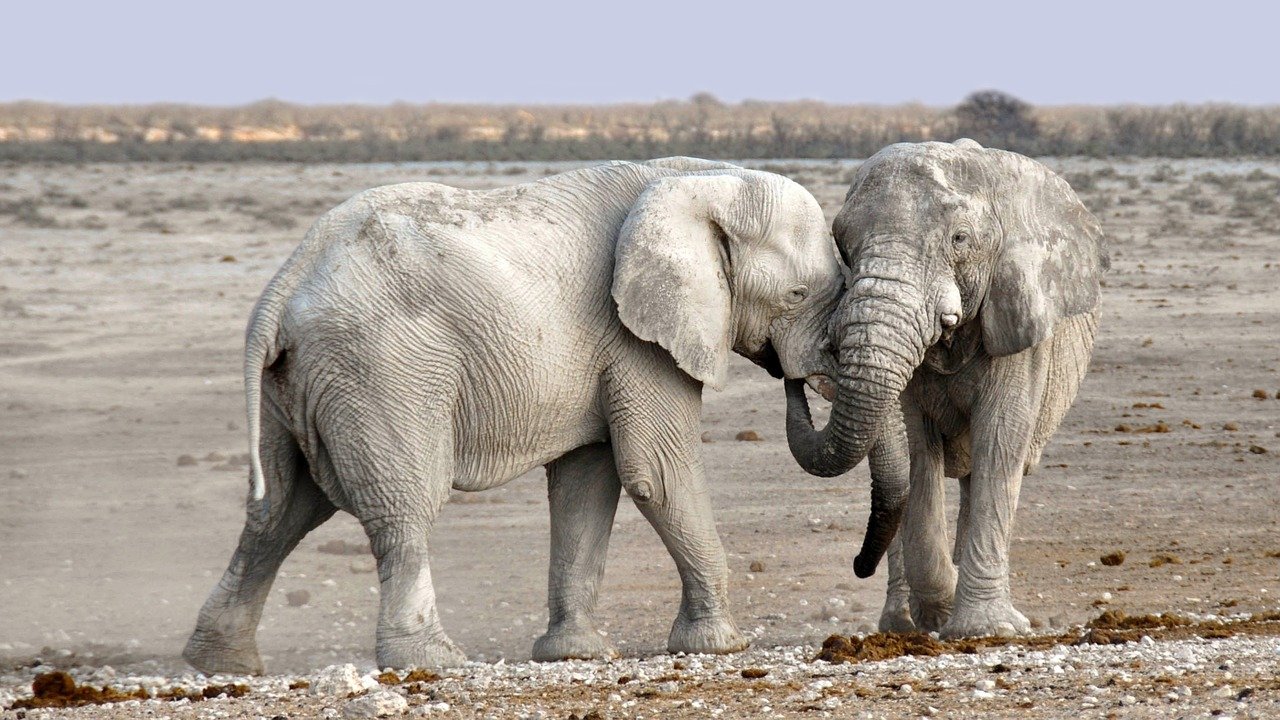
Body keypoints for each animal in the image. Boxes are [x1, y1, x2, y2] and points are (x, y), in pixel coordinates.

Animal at [180, 155, 839, 671]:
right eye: (797, 295)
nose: (795, 378)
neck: (703, 180)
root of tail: (283, 285)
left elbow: (586, 482)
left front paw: (574, 655)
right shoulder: (636, 338)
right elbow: (656, 472)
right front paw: (721, 645)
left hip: (299, 383)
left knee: (280, 511)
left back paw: (221, 662)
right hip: (381, 370)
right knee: (403, 507)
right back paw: (434, 660)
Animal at [783, 139, 1105, 632]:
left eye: (960, 240)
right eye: (843, 244)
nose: (795, 377)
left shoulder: (1019, 319)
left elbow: (1001, 440)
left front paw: (988, 629)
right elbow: (916, 449)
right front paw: (943, 609)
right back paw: (902, 624)